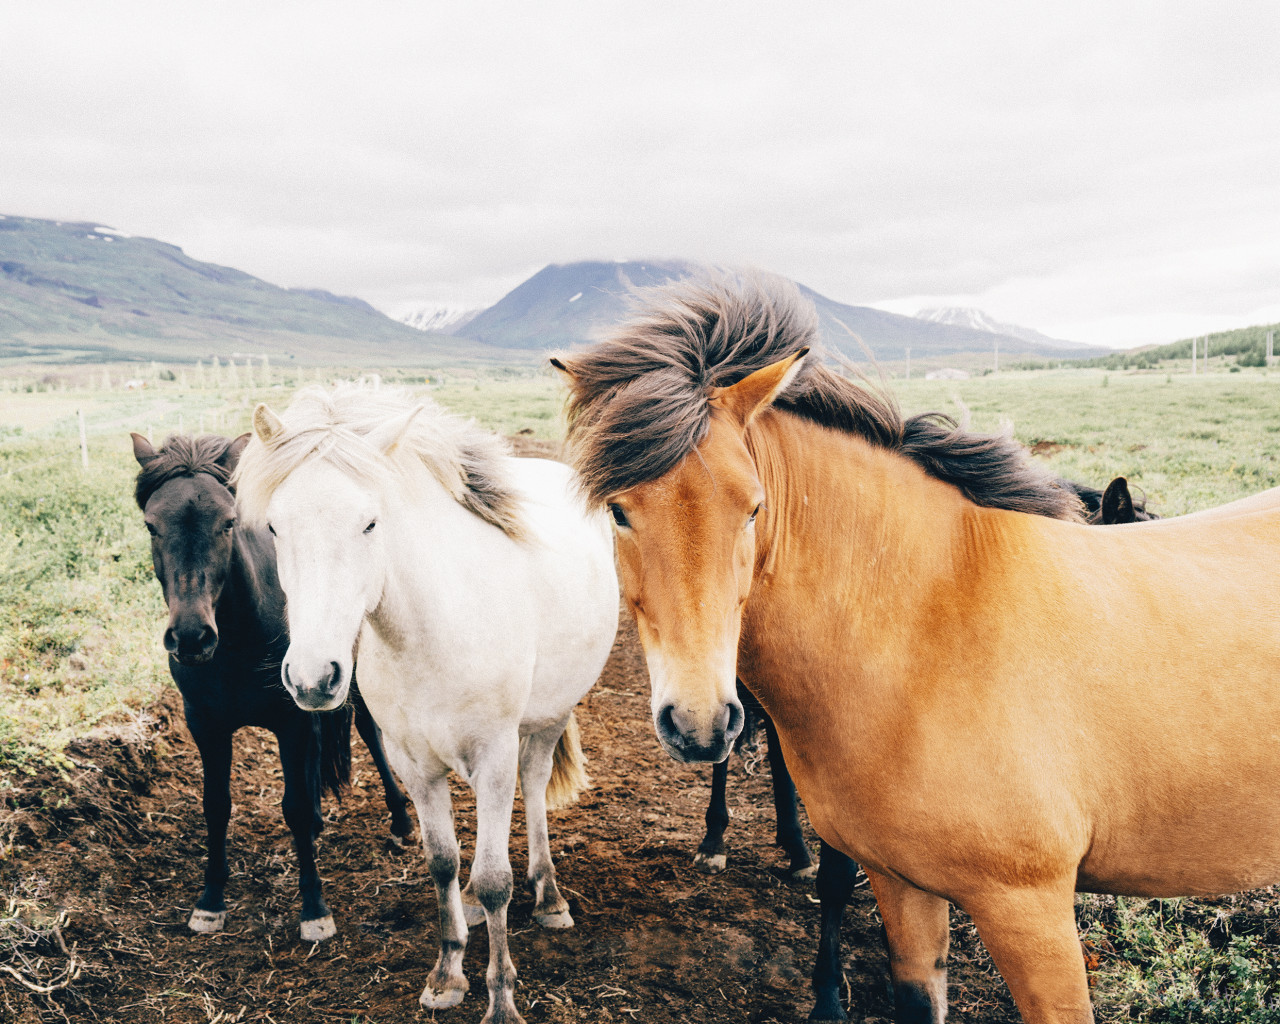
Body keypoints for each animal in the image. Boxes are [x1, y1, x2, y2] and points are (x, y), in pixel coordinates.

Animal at [132, 432, 413, 942]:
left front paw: (314, 909)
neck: (237, 643)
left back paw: (400, 821)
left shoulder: (291, 719)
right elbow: (216, 806)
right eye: (151, 526)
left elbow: (296, 806)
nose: (191, 637)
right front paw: (210, 902)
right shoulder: (205, 726)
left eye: (228, 522)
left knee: (369, 732)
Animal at [232, 384, 619, 1024]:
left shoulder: (494, 758)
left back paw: (549, 894)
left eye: (370, 523)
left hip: (548, 719)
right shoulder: (412, 764)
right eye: (275, 529)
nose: (313, 678)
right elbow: (442, 862)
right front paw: (447, 973)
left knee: (536, 786)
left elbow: (495, 878)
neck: (433, 629)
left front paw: (501, 1000)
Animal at [552, 273, 1280, 1024]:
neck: (930, 634)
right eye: (617, 511)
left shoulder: (1029, 908)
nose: (697, 721)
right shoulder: (903, 886)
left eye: (753, 507)